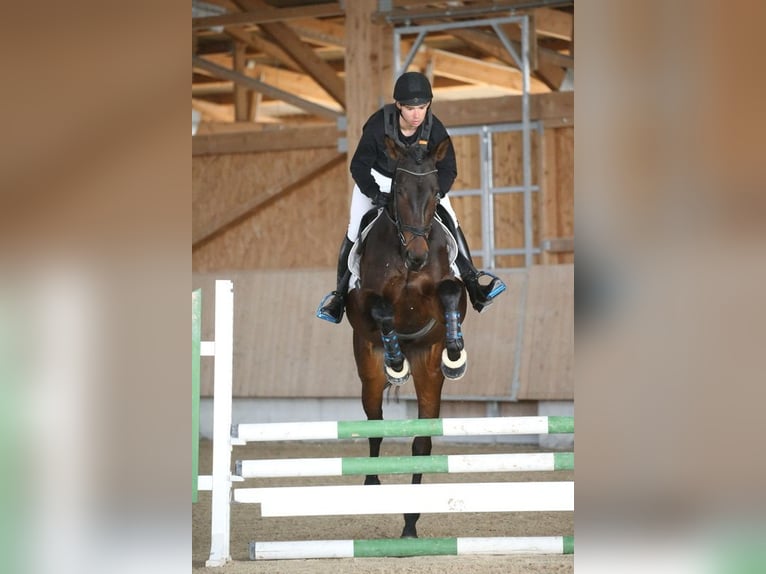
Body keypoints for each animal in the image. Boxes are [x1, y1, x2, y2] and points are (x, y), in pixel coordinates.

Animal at [346, 136, 468, 540]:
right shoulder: (364, 301)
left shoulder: (444, 292)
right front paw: (395, 360)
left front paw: (456, 351)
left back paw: (412, 522)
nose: (417, 256)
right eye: (397, 190)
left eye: (435, 193)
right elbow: (383, 309)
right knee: (375, 424)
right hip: (367, 369)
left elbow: (450, 293)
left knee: (421, 441)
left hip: (428, 372)